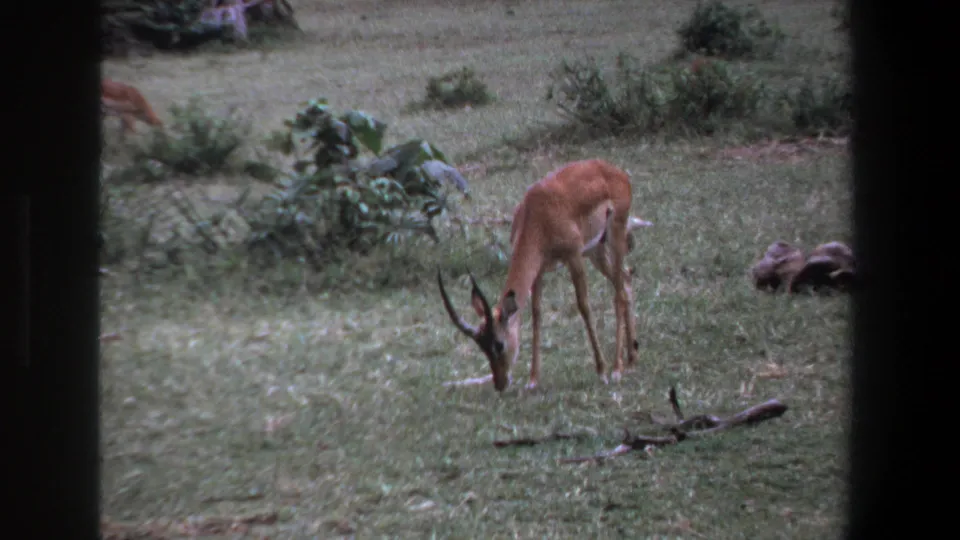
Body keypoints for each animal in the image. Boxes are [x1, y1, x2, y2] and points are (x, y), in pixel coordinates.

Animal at [437, 159, 652, 392]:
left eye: (499, 344)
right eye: (481, 346)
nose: (500, 383)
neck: (537, 215)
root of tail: (616, 171)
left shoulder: (573, 257)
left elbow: (584, 306)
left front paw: (601, 371)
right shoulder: (539, 270)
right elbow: (536, 314)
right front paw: (533, 380)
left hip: (614, 236)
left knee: (619, 293)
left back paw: (616, 369)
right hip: (596, 250)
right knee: (626, 279)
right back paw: (632, 359)